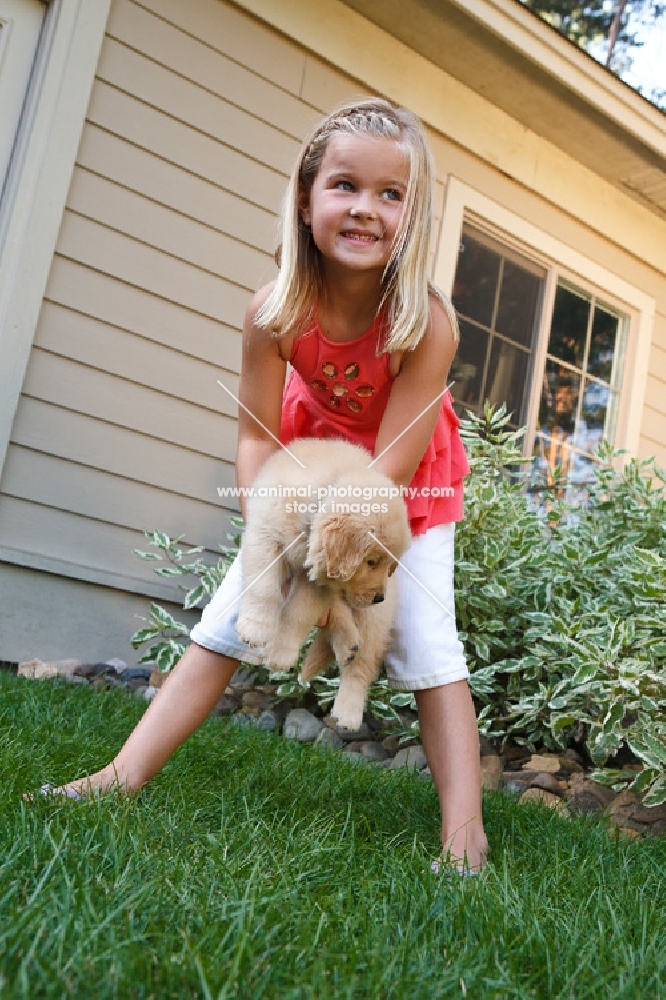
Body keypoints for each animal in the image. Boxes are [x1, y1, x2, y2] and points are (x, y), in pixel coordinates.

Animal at [233, 442, 410, 732]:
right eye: (371, 561)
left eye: (387, 565)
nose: (379, 598)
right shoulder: (265, 537)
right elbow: (264, 588)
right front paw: (255, 627)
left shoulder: (318, 581)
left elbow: (298, 612)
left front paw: (281, 653)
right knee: (340, 615)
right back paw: (347, 642)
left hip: (373, 621)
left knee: (361, 667)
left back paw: (348, 712)